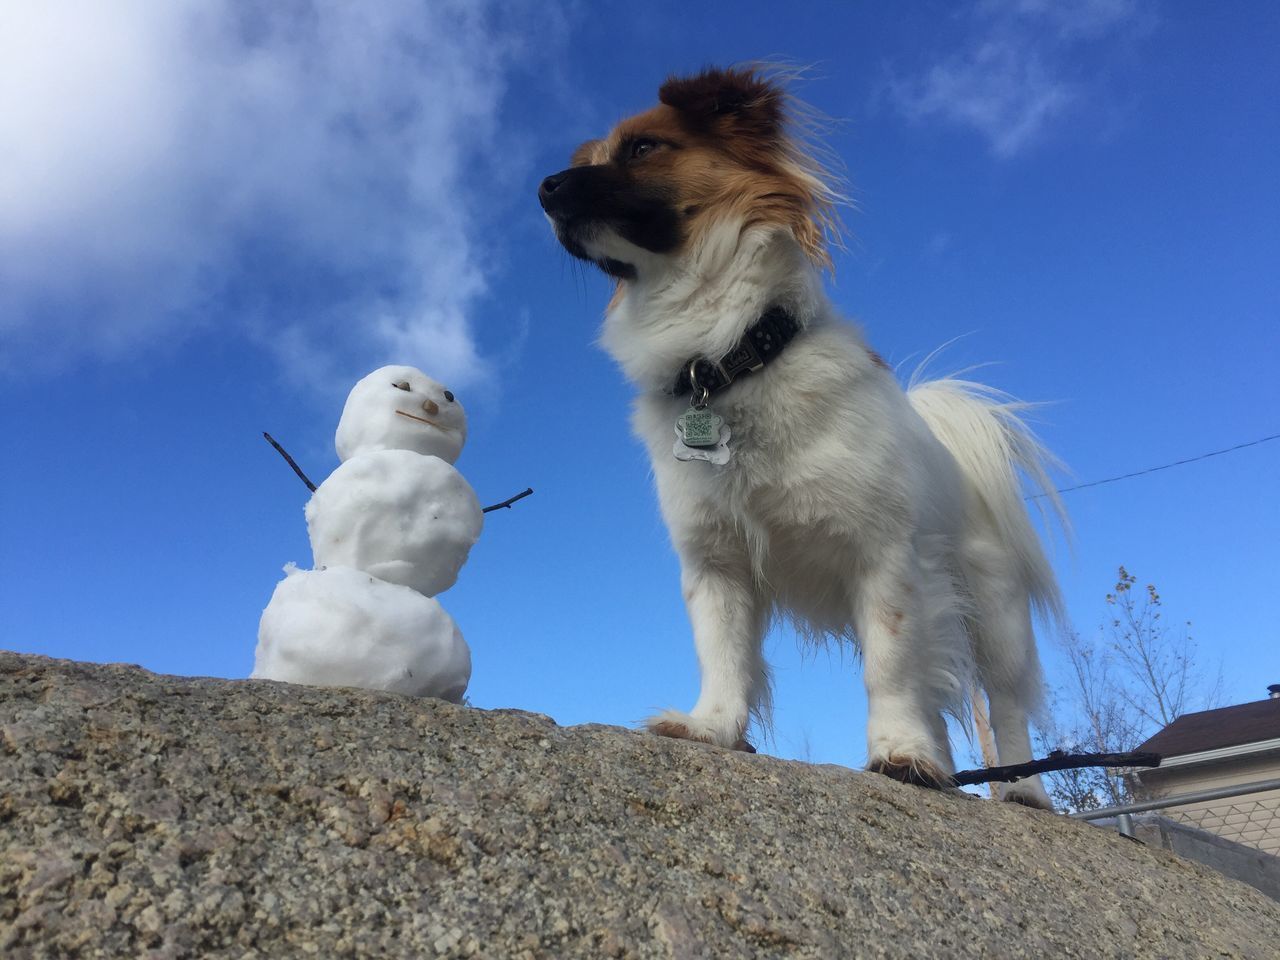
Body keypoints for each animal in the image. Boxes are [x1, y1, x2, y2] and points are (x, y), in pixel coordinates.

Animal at [537, 64, 1059, 808]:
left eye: (642, 148)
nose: (544, 187)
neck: (727, 360)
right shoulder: (716, 564)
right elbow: (724, 655)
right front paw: (712, 727)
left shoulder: (885, 559)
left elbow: (889, 666)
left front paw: (899, 752)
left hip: (995, 611)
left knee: (1006, 701)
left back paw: (1020, 789)